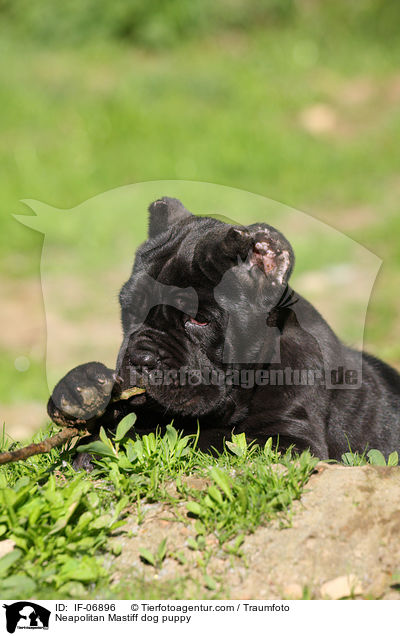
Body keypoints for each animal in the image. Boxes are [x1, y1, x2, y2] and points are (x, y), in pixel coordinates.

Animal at [47, 196, 400, 460]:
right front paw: (79, 388)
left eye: (200, 320)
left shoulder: (289, 441)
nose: (141, 359)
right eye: (129, 310)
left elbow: (203, 438)